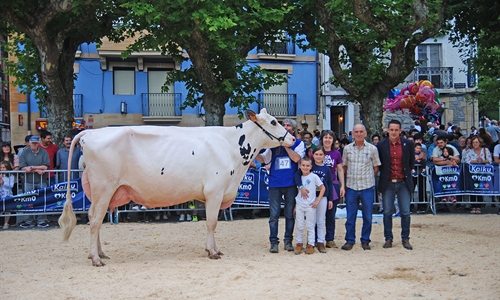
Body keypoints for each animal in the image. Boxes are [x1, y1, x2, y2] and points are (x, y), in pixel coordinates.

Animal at [58, 109, 294, 266]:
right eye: (274, 122)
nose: (292, 138)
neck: (232, 148)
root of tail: (90, 133)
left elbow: (213, 223)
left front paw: (214, 249)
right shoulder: (214, 191)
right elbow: (212, 223)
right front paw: (212, 251)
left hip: (99, 191)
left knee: (94, 218)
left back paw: (100, 253)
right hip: (103, 187)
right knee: (95, 220)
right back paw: (95, 258)